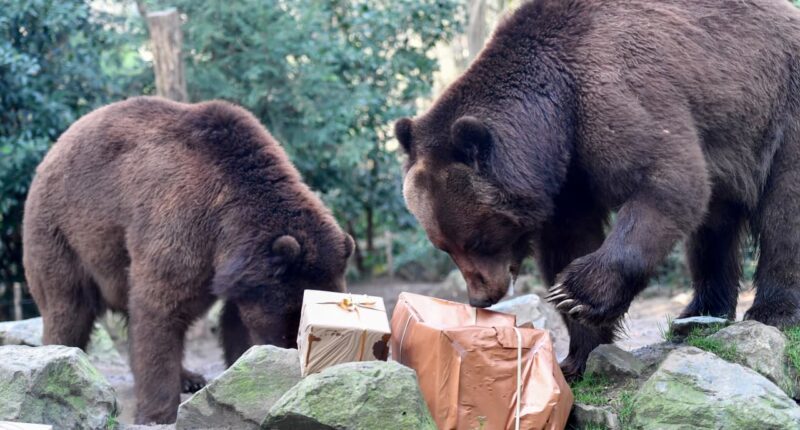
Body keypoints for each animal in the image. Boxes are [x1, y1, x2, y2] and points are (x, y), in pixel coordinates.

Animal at [22, 96, 353, 424]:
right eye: (293, 319)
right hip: (65, 232)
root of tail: (55, 148)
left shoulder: (239, 276)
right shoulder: (181, 221)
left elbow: (235, 323)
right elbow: (161, 310)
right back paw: (62, 358)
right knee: (67, 304)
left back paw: (190, 378)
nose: (296, 363)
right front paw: (157, 413)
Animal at [395, 0, 800, 379]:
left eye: (478, 240)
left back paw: (773, 311)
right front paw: (578, 354)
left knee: (783, 213)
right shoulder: (569, 174)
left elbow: (670, 179)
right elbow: (570, 238)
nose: (481, 297)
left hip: (778, 108)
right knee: (712, 232)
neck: (553, 113)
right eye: (444, 246)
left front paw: (577, 294)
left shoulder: (614, 93)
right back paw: (697, 314)